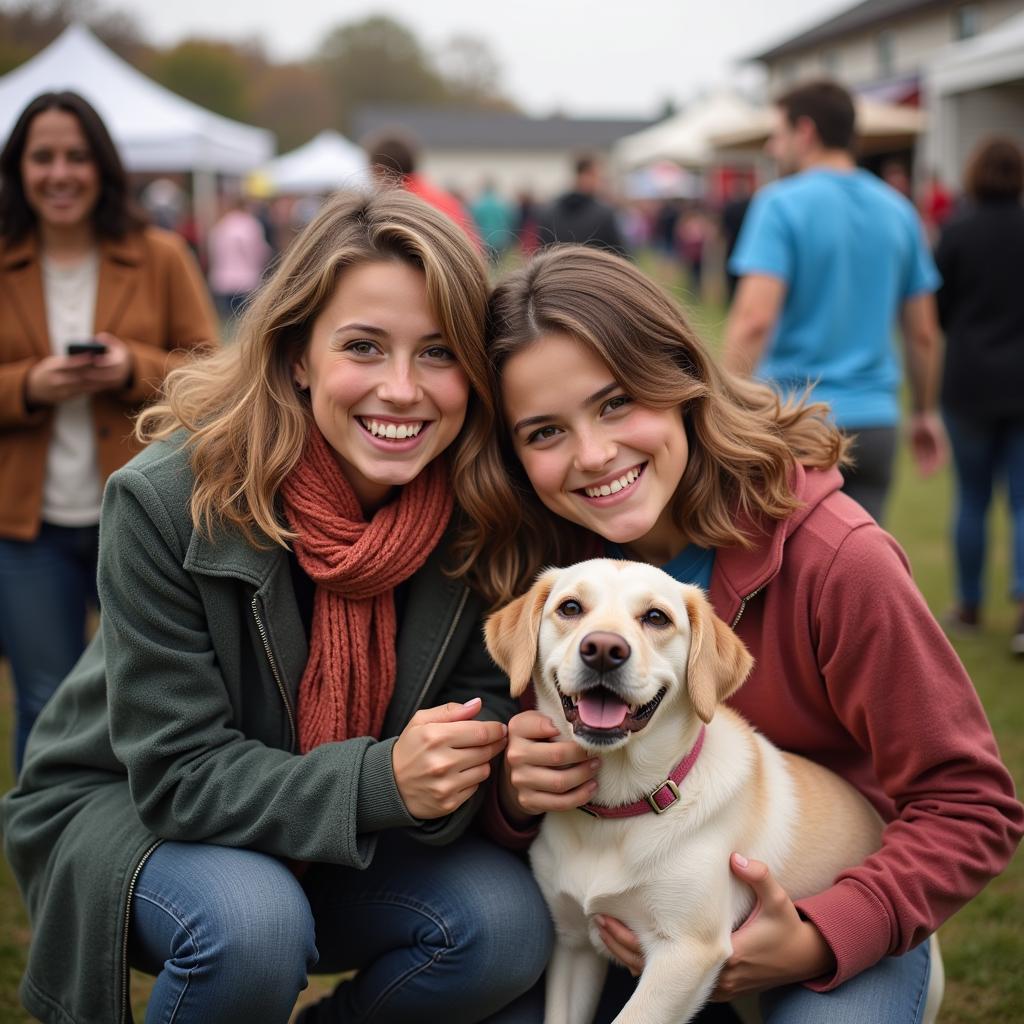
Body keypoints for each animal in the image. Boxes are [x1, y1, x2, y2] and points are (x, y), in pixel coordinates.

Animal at [483, 561, 884, 1024]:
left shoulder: (686, 953)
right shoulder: (573, 945)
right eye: (570, 608)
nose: (603, 649)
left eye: (656, 617)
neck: (621, 808)